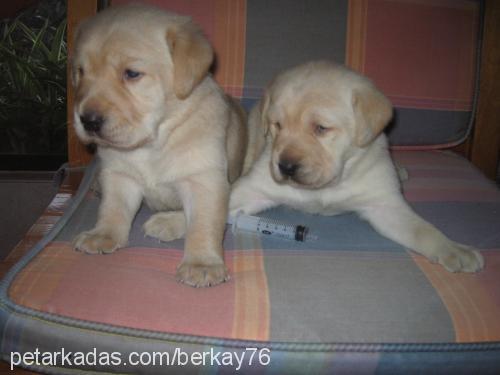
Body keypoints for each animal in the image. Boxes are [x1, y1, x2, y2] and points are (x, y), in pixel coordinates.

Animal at [71, 4, 247, 288]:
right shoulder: (119, 175)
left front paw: (202, 263)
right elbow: (112, 208)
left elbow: (204, 224)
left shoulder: (204, 180)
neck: (152, 142)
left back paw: (166, 223)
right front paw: (103, 234)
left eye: (132, 74)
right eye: (80, 72)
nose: (88, 120)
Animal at [231, 61, 484, 274]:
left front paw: (455, 249)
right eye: (277, 125)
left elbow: (423, 229)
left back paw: (400, 171)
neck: (328, 186)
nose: (286, 166)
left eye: (321, 128)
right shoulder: (253, 187)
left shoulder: (385, 206)